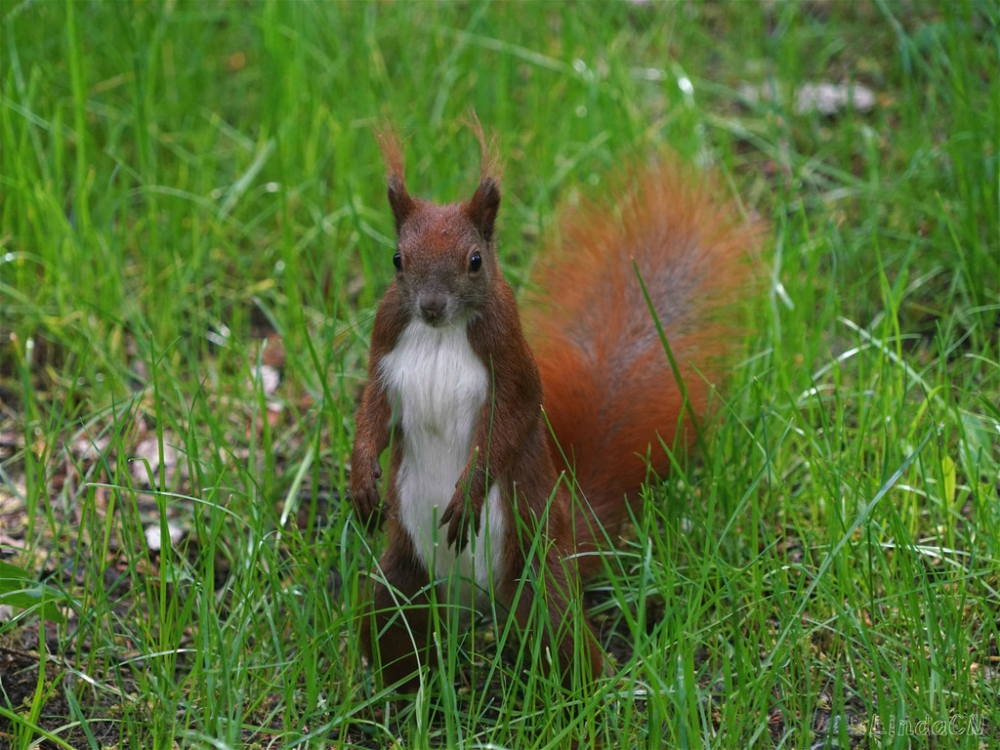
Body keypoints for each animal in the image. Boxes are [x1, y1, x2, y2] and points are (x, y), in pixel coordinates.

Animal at [348, 120, 752, 696]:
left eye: (475, 261)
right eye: (397, 260)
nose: (430, 307)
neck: (441, 333)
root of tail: (477, 602)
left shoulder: (512, 364)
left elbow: (511, 424)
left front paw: (468, 495)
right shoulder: (385, 350)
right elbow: (373, 415)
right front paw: (362, 479)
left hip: (536, 575)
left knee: (563, 641)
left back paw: (600, 694)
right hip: (401, 581)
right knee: (397, 632)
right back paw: (397, 697)